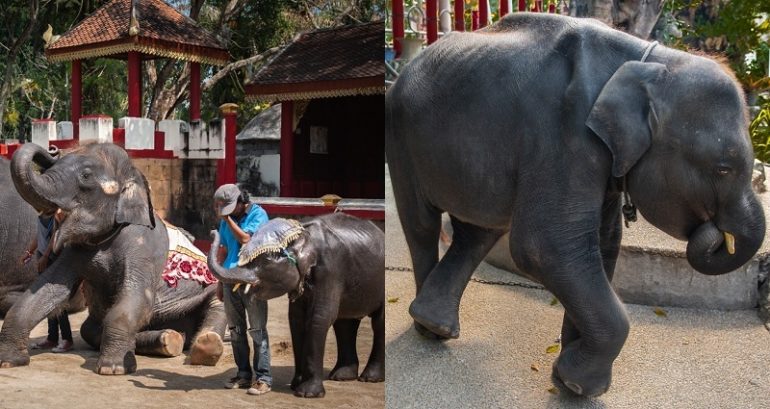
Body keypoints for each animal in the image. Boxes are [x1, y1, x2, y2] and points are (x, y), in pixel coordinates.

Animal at [0, 142, 227, 374]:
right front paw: (9, 361)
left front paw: (113, 369)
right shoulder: (76, 250)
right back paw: (169, 338)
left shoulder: (143, 247)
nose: (53, 148)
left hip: (209, 291)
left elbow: (137, 296)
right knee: (89, 329)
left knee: (217, 306)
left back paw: (205, 346)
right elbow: (47, 288)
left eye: (86, 175)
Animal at [207, 213, 385, 398]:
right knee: (345, 323)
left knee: (378, 323)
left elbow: (319, 318)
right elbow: (296, 320)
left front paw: (307, 393)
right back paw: (341, 377)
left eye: (265, 260)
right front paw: (295, 385)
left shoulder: (330, 271)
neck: (302, 236)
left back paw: (370, 378)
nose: (212, 231)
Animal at [386, 13, 765, 397]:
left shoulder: (604, 160)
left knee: (477, 233)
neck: (648, 62)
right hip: (400, 136)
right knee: (422, 226)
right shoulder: (563, 134)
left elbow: (602, 244)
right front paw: (577, 384)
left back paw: (435, 323)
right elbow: (545, 247)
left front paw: (566, 378)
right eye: (723, 168)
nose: (716, 233)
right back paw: (427, 331)